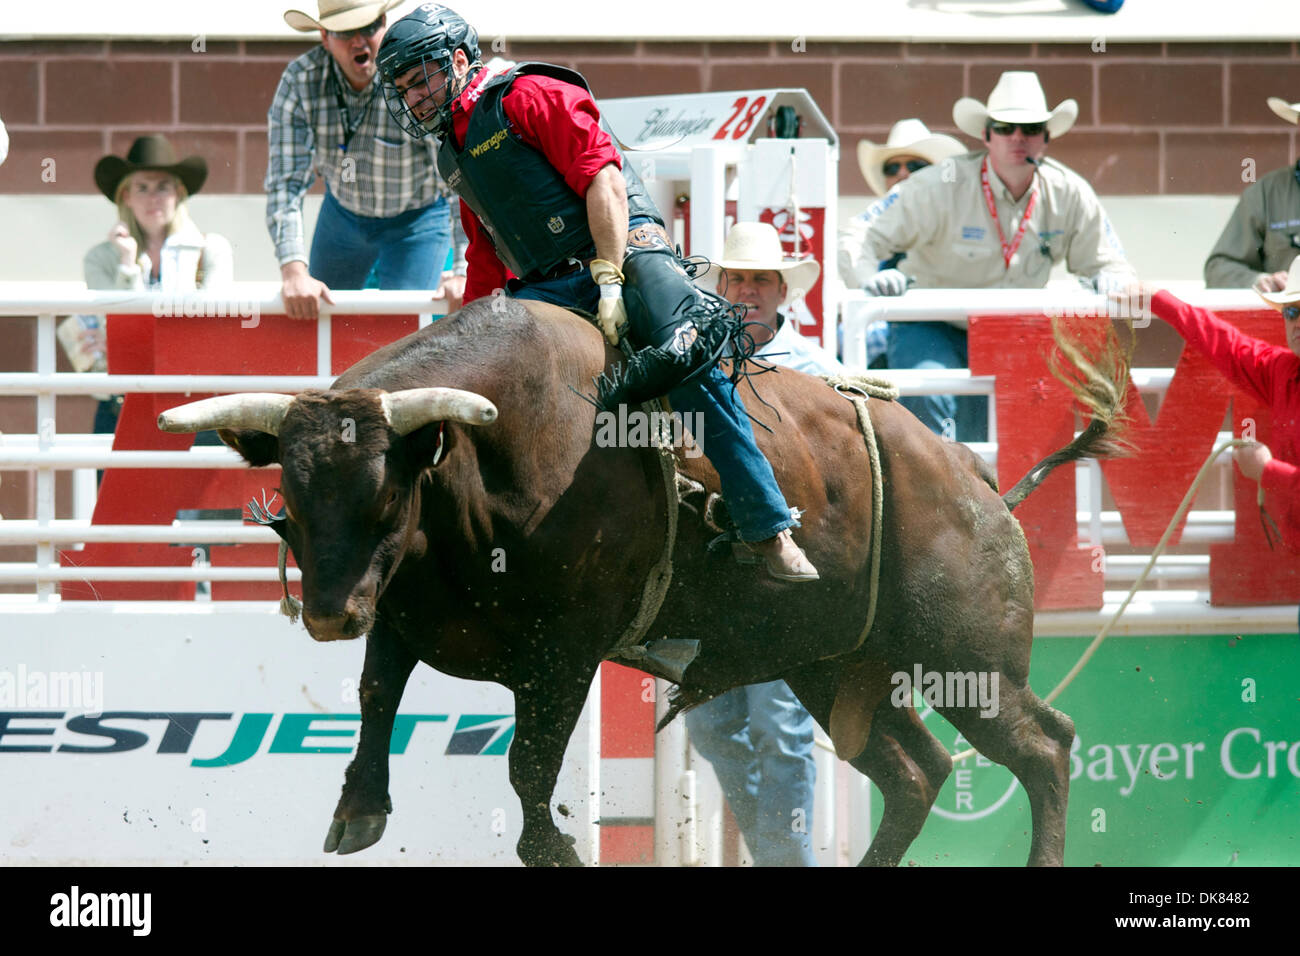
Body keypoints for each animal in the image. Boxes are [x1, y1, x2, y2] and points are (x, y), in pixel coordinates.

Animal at [157, 300, 1123, 868]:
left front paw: (553, 847)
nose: (327, 613)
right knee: (917, 772)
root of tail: (978, 480)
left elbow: (528, 760)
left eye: (387, 494)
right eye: (292, 496)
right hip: (834, 666)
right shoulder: (401, 610)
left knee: (1045, 748)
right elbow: (375, 696)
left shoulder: (566, 650)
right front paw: (359, 807)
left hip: (969, 662)